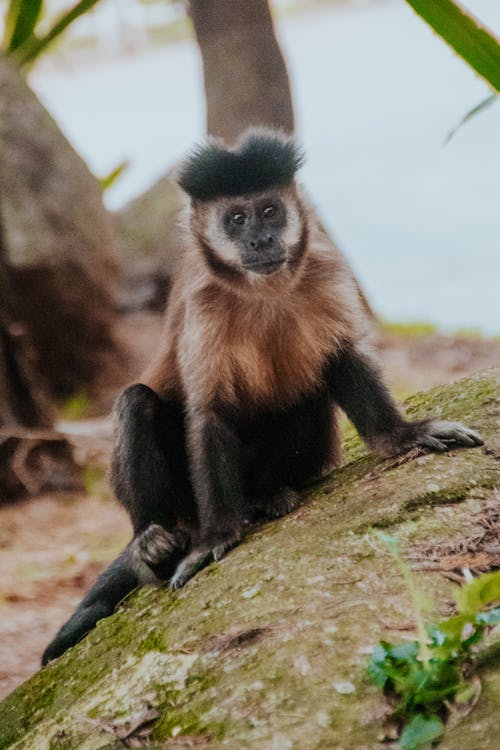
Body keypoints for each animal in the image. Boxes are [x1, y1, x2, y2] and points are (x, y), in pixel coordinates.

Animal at [42, 126, 480, 668]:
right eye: (236, 219)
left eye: (270, 211)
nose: (260, 239)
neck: (262, 290)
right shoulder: (203, 303)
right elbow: (208, 412)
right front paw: (218, 537)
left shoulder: (325, 270)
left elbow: (341, 359)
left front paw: (404, 435)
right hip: (184, 502)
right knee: (136, 404)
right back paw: (157, 544)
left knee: (309, 394)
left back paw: (266, 495)